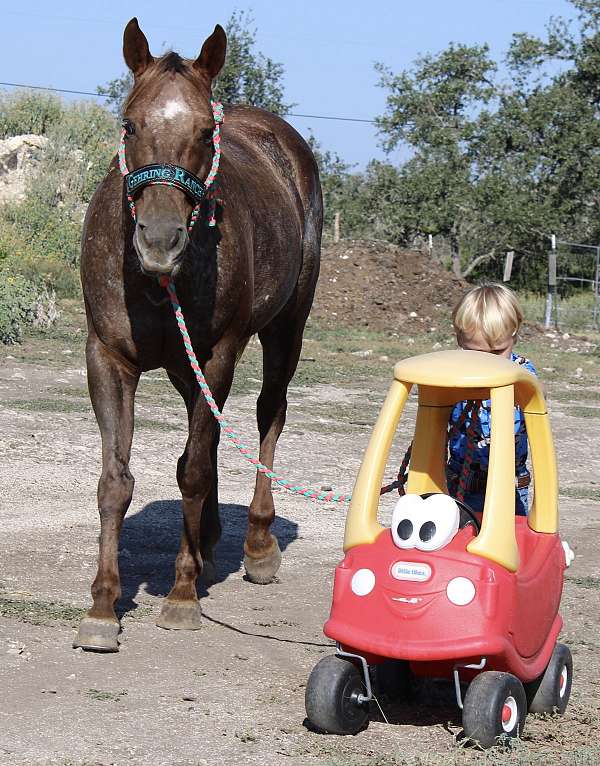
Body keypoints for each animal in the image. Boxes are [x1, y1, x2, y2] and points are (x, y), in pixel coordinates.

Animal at [76, 19, 324, 656]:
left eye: (206, 131)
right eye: (129, 123)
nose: (159, 241)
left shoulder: (218, 354)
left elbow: (193, 471)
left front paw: (182, 595)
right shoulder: (108, 358)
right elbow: (116, 480)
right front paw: (102, 607)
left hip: (285, 329)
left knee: (266, 418)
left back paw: (256, 545)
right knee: (205, 439)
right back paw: (208, 538)